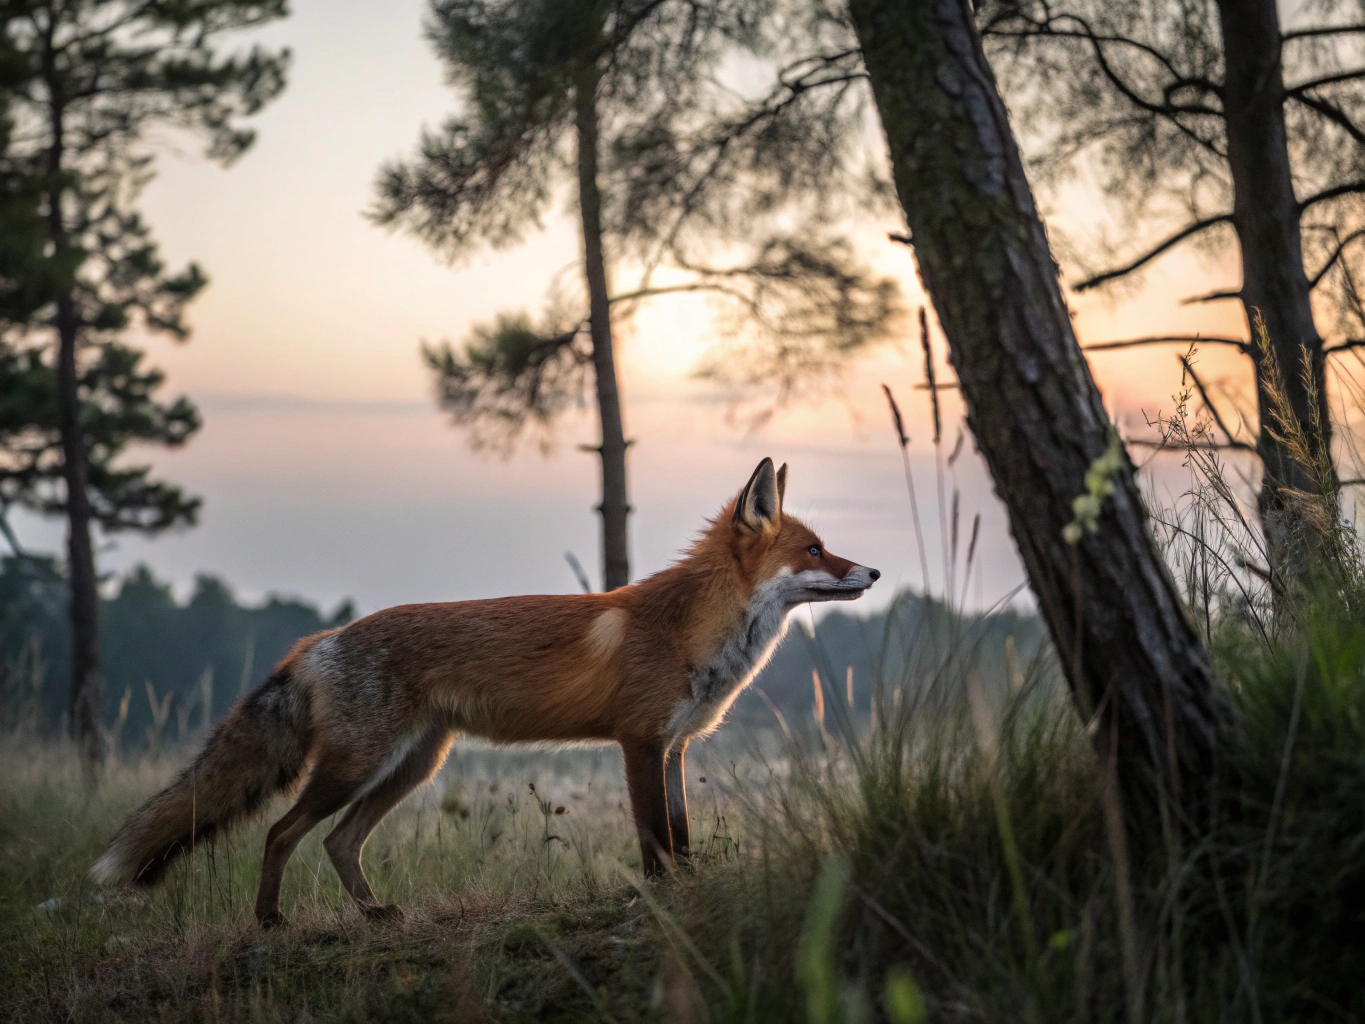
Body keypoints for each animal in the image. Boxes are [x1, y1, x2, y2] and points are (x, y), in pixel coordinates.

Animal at [91, 457, 879, 926]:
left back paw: (375, 916)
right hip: (356, 766)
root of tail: (318, 641)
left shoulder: (675, 747)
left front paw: (683, 894)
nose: (871, 571)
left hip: (410, 766)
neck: (690, 630)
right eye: (813, 550)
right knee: (282, 832)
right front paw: (662, 901)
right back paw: (269, 922)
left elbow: (680, 836)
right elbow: (654, 839)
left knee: (339, 842)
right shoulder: (638, 742)